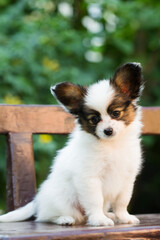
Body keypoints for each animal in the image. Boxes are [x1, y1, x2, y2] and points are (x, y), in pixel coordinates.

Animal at [0, 61, 143, 225]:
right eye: (94, 119)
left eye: (116, 113)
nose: (108, 131)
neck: (112, 145)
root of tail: (38, 200)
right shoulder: (89, 178)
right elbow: (95, 201)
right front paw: (99, 219)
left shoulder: (127, 178)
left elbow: (122, 201)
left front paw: (124, 217)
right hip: (61, 202)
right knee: (45, 216)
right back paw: (65, 219)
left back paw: (109, 215)